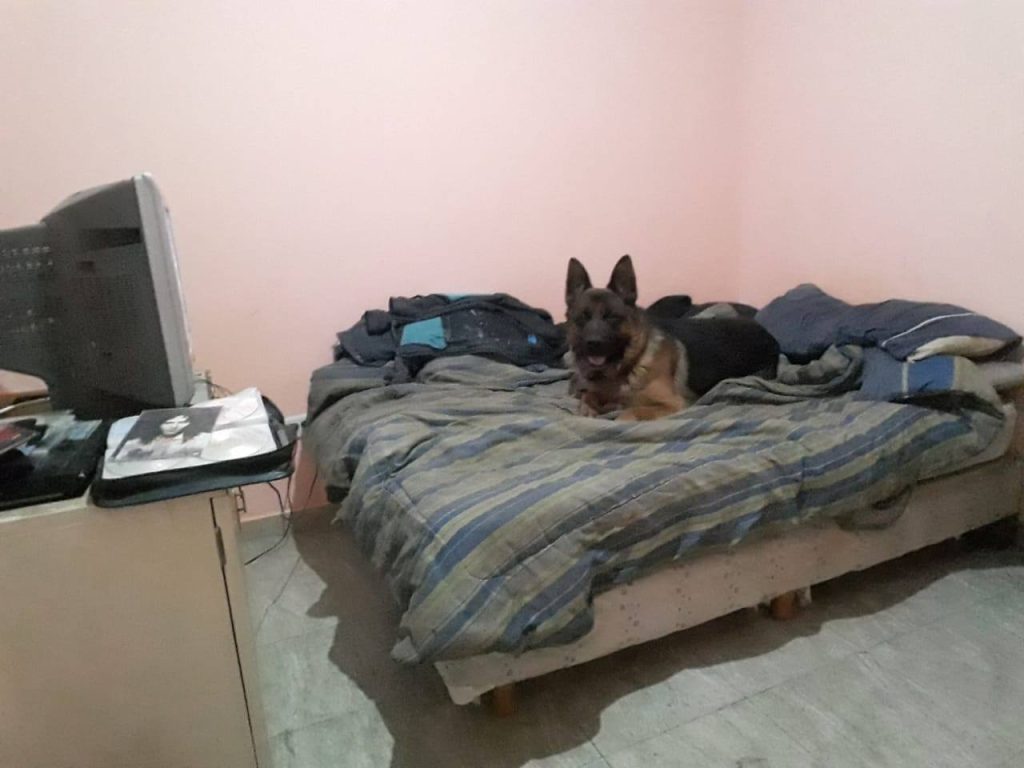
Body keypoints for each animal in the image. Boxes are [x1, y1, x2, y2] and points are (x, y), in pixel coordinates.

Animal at [565, 255, 779, 420]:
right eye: (582, 318)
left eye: (612, 317)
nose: (593, 343)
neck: (630, 365)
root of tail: (769, 335)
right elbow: (588, 397)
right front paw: (588, 406)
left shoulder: (673, 404)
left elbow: (629, 413)